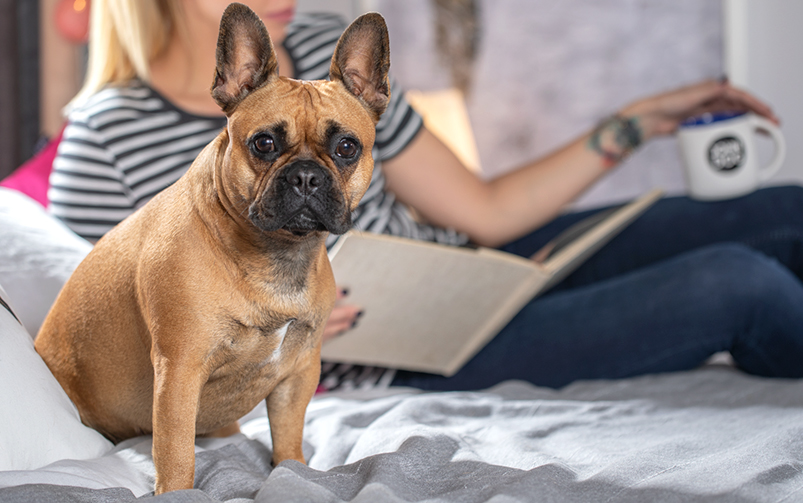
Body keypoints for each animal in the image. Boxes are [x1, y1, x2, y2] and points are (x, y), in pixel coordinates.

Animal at [35, 1, 392, 494]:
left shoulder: (298, 374)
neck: (272, 255)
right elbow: (176, 451)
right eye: (264, 143)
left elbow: (288, 437)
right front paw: (175, 494)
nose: (305, 175)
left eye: (346, 147)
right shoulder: (179, 372)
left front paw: (294, 473)